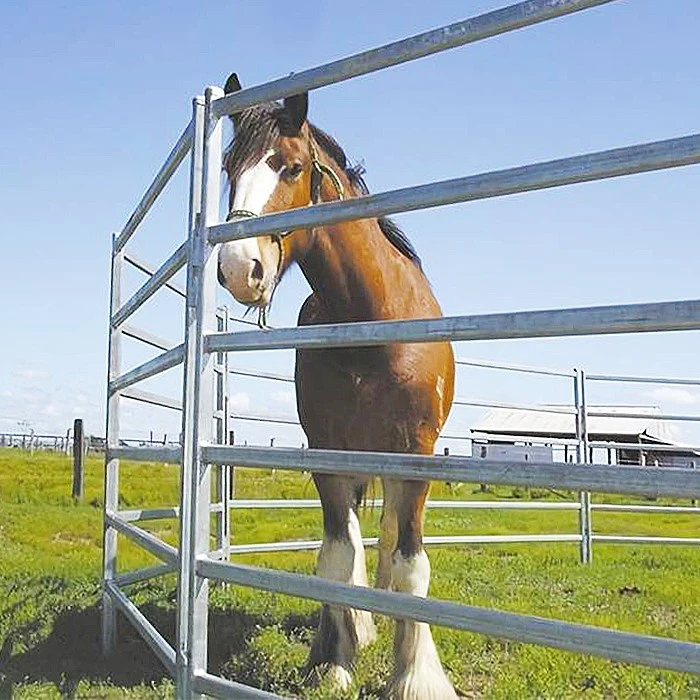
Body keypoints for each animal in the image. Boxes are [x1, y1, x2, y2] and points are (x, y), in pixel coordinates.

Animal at [217, 72, 457, 700]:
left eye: (293, 167)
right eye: (228, 167)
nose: (237, 267)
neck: (371, 323)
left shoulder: (415, 456)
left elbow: (409, 561)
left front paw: (415, 676)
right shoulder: (327, 452)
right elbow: (335, 558)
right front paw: (334, 660)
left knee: (390, 540)